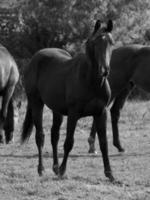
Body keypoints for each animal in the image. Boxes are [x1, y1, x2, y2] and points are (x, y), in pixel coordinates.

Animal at [20, 19, 115, 181]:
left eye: (111, 43)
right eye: (95, 43)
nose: (104, 71)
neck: (90, 81)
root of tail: (35, 58)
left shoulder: (101, 113)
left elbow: (104, 143)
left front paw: (110, 174)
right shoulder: (73, 114)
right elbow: (69, 142)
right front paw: (63, 171)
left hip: (56, 110)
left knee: (54, 136)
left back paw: (55, 167)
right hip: (36, 103)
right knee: (40, 136)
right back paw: (42, 169)